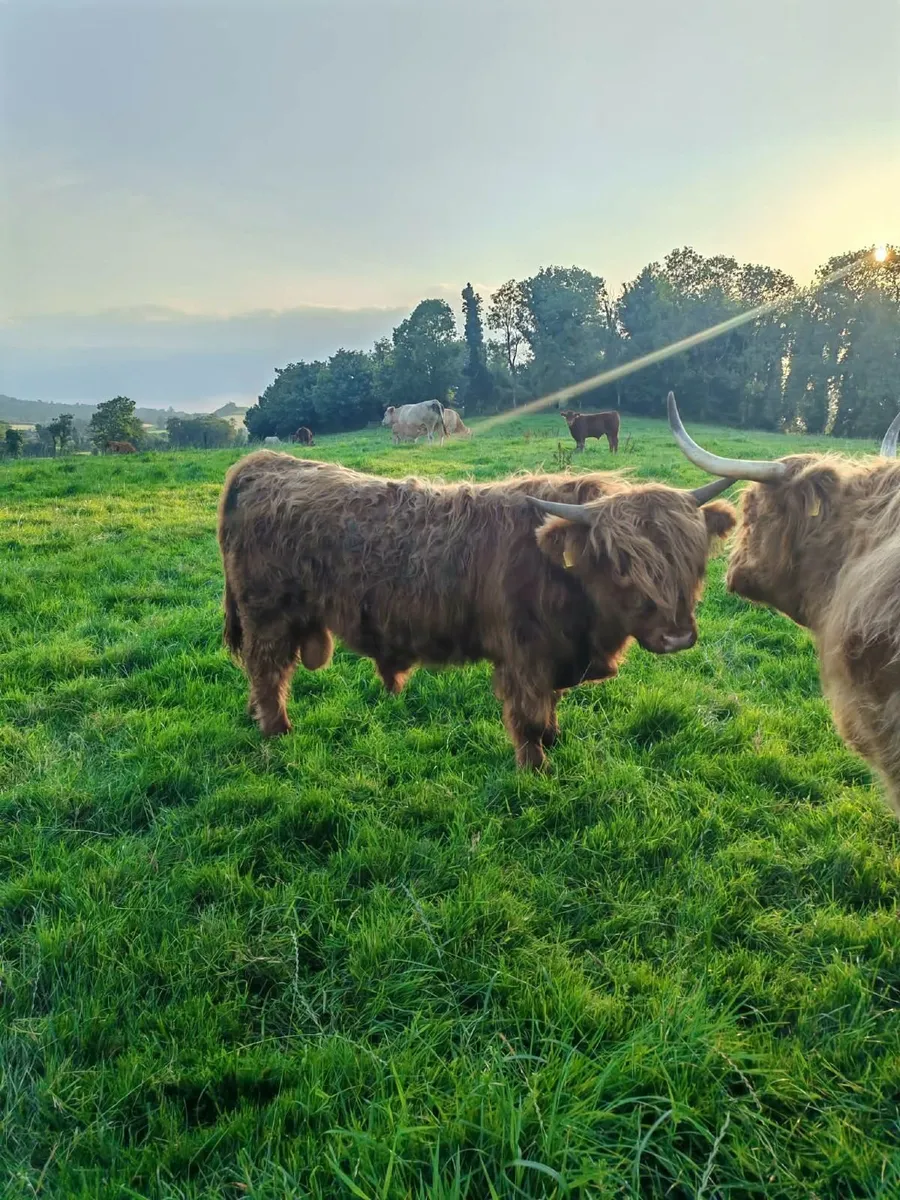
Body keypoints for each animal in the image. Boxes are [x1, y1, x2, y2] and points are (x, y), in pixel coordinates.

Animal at [217, 450, 736, 769]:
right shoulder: (524, 655)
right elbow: (529, 718)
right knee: (268, 672)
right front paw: (537, 769)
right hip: (268, 616)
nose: (677, 636)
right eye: (622, 564)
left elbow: (550, 709)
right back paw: (277, 731)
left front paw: (555, 740)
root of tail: (264, 463)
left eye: (691, 559)